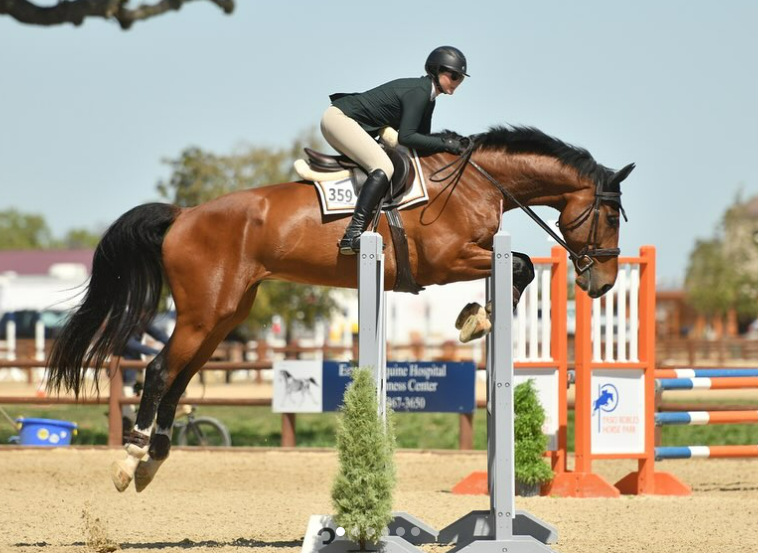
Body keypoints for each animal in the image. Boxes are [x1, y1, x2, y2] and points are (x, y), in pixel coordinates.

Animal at [46, 125, 634, 492]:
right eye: (609, 218)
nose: (603, 283)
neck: (473, 181)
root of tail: (184, 214)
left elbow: (518, 266)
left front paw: (478, 314)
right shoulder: (446, 259)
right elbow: (522, 266)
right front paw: (479, 318)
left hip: (224, 315)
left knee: (181, 374)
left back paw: (155, 460)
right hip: (201, 314)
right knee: (159, 370)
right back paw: (131, 461)